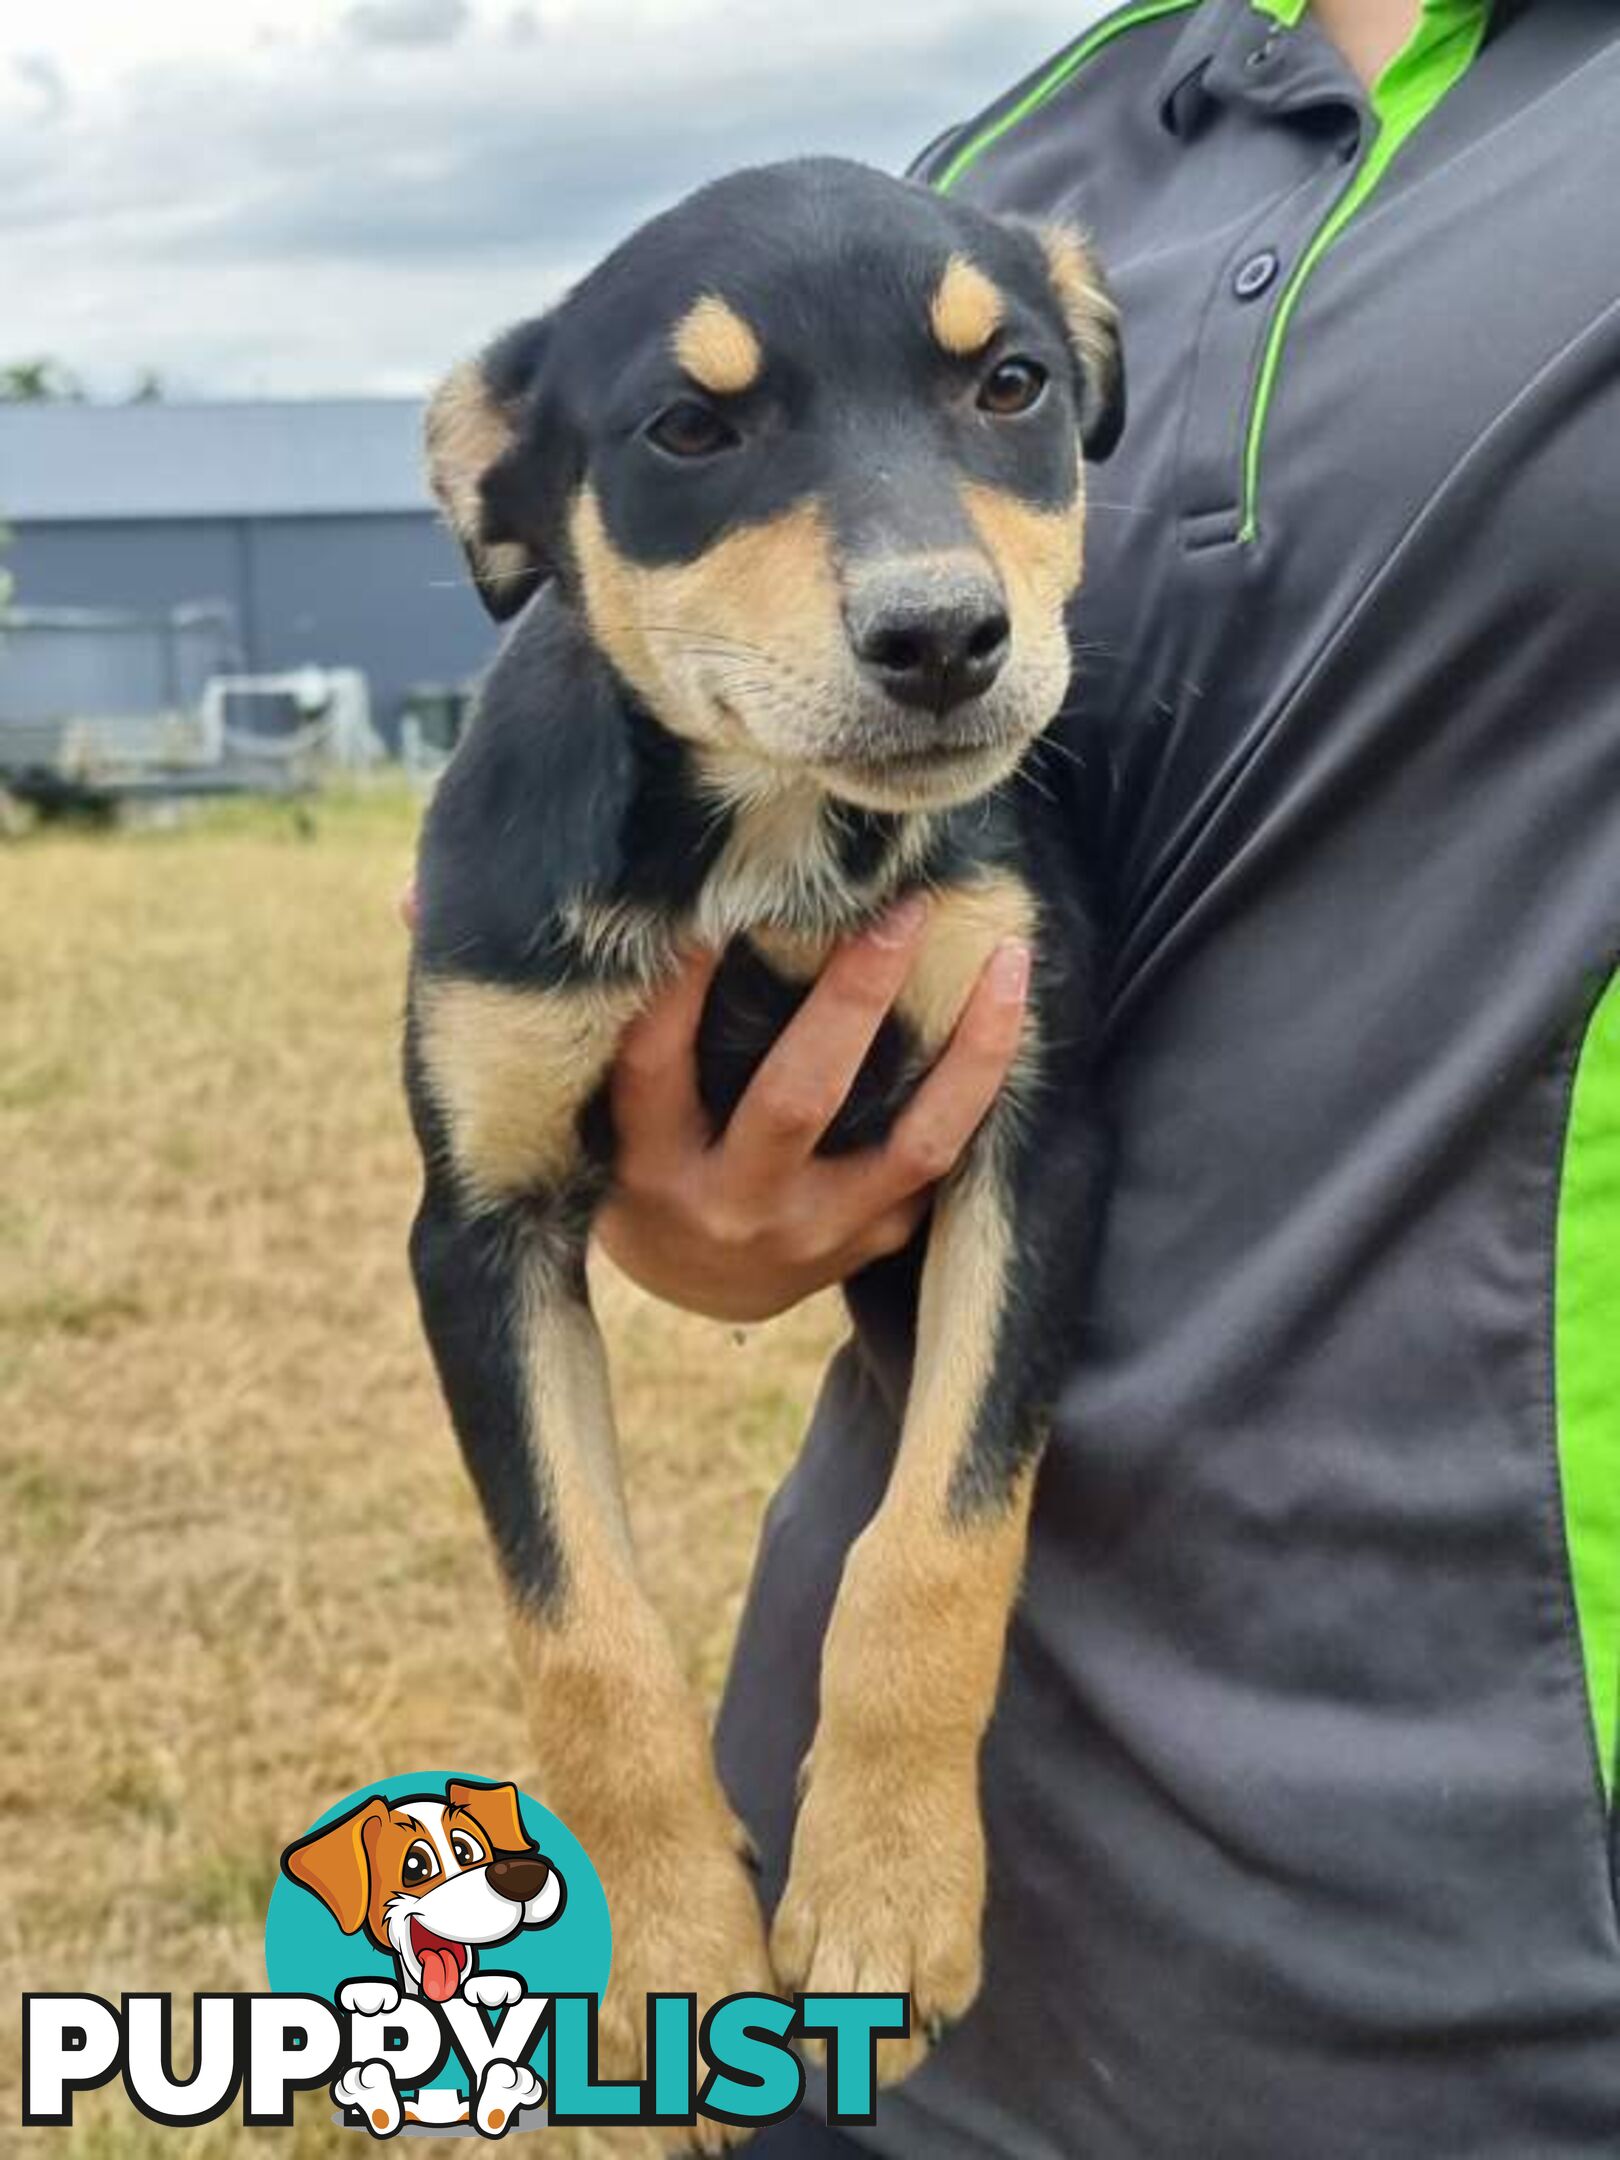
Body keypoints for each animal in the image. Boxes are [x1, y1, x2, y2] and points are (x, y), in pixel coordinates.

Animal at [408, 159, 1114, 2116]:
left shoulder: (1031, 1146)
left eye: (1010, 386)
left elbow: (936, 1547)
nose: (945, 638)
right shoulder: (475, 1231)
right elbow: (577, 1625)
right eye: (691, 429)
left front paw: (888, 1888)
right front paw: (667, 1950)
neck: (771, 847)